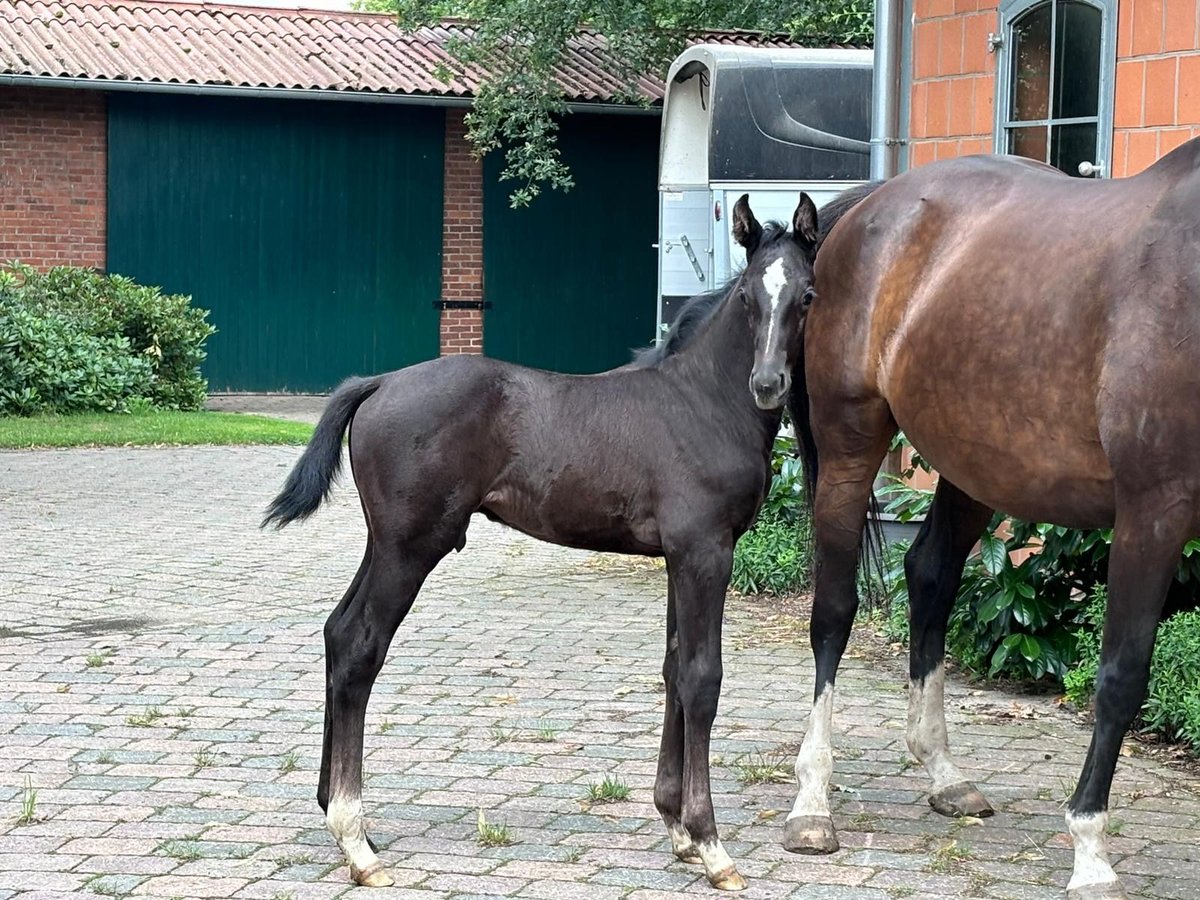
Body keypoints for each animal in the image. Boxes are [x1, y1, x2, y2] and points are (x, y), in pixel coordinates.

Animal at [266, 194, 820, 892]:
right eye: (748, 294)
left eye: (806, 294)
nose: (768, 384)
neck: (703, 402)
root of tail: (380, 382)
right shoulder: (705, 553)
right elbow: (701, 678)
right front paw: (712, 844)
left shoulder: (679, 559)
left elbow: (673, 669)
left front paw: (677, 830)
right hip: (410, 547)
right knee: (362, 645)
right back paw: (355, 840)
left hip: (385, 543)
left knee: (338, 633)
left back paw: (341, 818)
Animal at [782, 142, 1200, 900]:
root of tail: (870, 206)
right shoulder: (1154, 512)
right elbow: (1121, 677)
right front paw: (1090, 852)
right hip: (850, 444)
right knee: (832, 612)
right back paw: (812, 804)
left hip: (974, 465)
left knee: (930, 577)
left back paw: (944, 772)